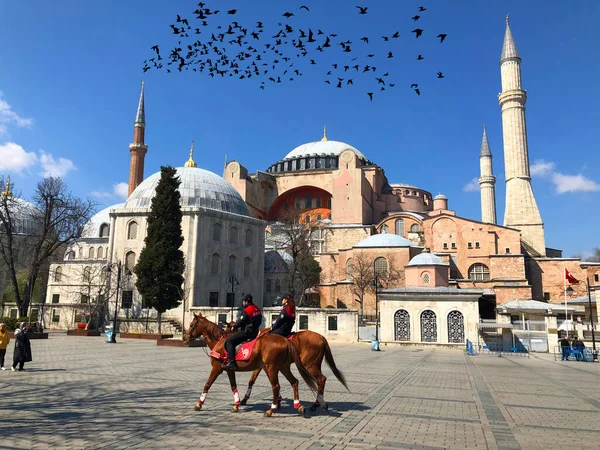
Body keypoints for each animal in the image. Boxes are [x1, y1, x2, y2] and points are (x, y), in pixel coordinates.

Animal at [184, 312, 318, 414]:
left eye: (191, 325)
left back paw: (272, 409)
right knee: (294, 382)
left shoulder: (217, 368)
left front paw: (199, 404)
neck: (220, 342)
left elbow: (207, 384)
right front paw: (236, 404)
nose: (184, 337)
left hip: (272, 367)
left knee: (276, 386)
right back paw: (297, 405)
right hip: (282, 367)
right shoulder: (229, 369)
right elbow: (233, 386)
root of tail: (285, 340)